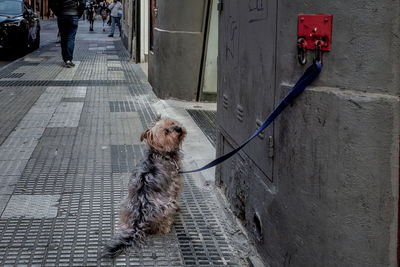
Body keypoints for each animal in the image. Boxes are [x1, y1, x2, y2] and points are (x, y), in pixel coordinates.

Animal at [101, 116, 186, 258]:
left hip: (124, 203)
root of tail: (138, 222)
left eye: (172, 123)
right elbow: (176, 196)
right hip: (167, 206)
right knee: (162, 225)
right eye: (166, 132)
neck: (160, 153)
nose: (178, 128)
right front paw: (179, 207)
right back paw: (167, 226)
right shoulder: (175, 184)